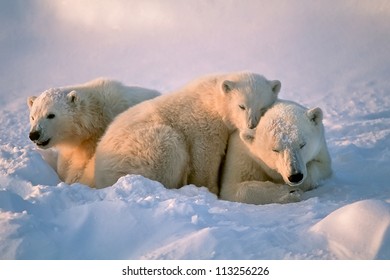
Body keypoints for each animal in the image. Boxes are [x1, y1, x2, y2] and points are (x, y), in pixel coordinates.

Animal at [92, 71, 280, 192]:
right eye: (241, 106)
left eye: (263, 108)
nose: (251, 125)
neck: (213, 100)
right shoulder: (204, 125)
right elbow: (205, 158)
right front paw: (210, 189)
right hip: (144, 148)